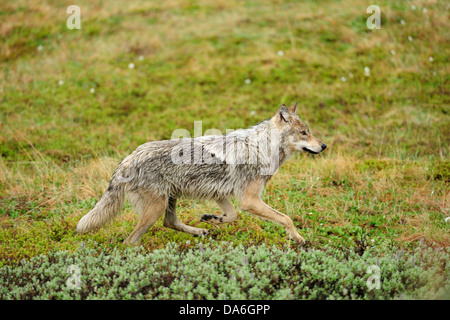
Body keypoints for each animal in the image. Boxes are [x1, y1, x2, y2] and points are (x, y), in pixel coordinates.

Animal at [75, 102, 326, 245]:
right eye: (304, 133)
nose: (323, 146)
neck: (262, 147)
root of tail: (128, 158)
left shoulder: (220, 195)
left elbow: (232, 216)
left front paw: (213, 219)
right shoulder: (250, 200)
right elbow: (286, 218)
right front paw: (299, 239)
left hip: (168, 201)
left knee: (170, 222)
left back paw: (200, 231)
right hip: (155, 209)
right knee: (129, 241)